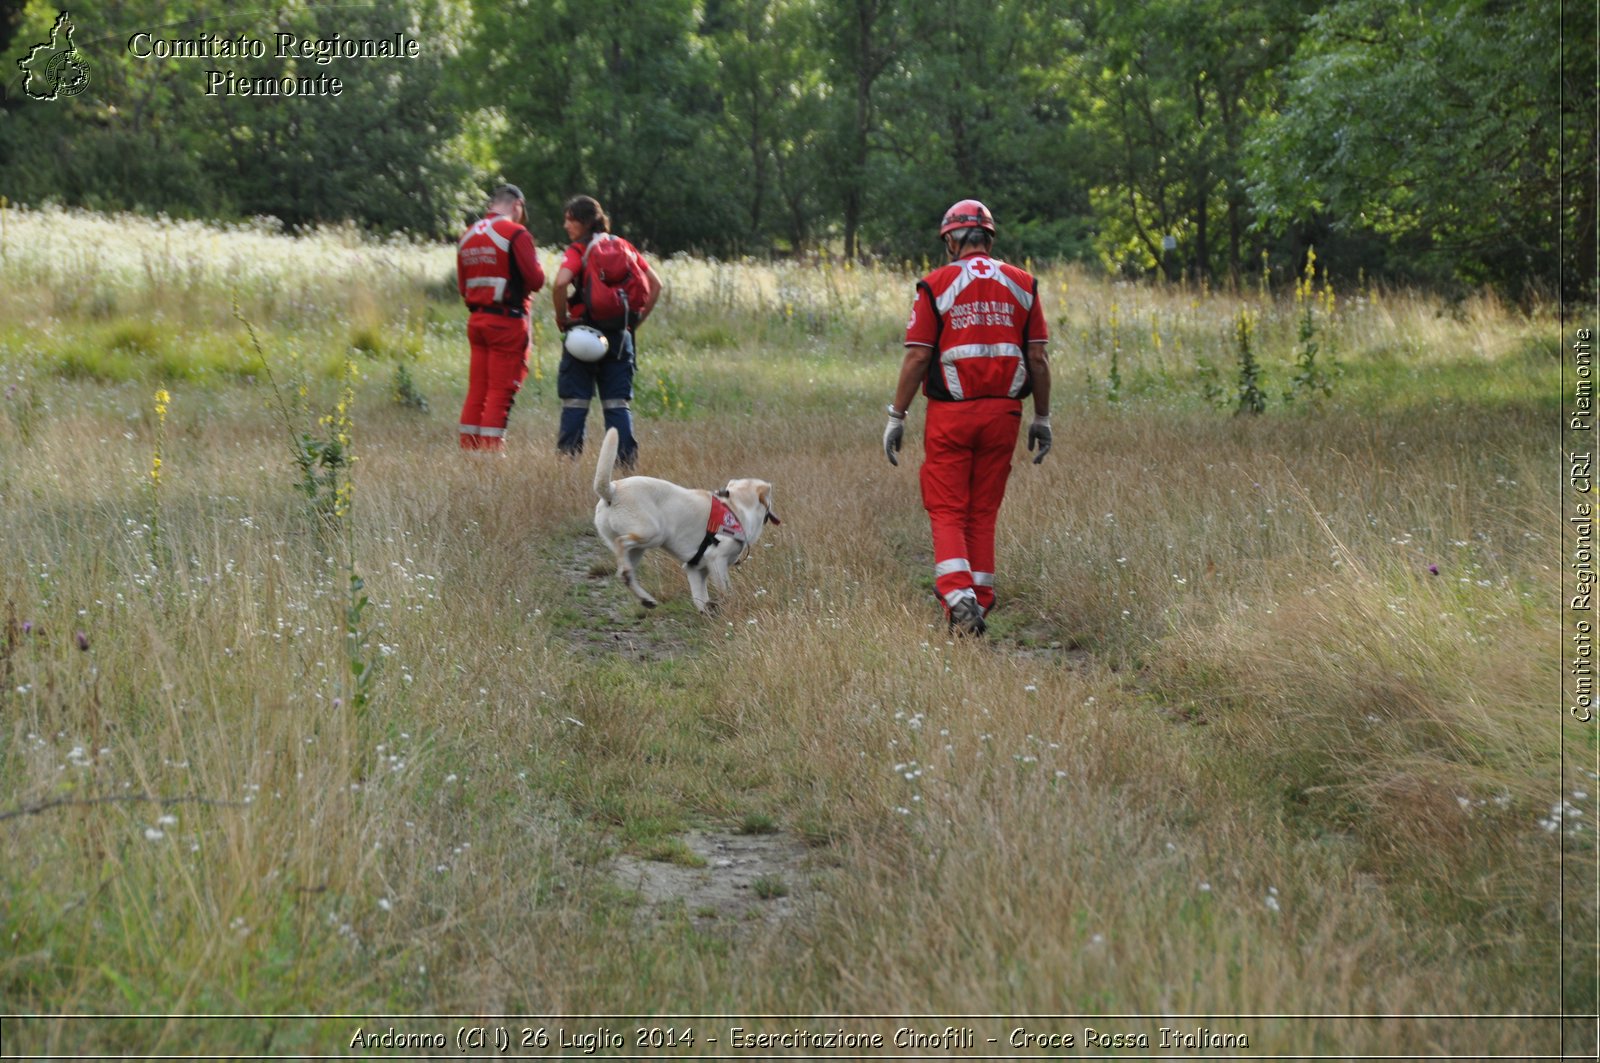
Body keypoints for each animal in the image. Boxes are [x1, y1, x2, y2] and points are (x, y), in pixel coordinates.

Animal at [595, 429, 780, 614]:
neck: (735, 505)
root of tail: (613, 490)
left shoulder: (695, 569)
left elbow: (701, 599)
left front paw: (708, 612)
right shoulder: (716, 559)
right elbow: (726, 592)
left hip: (638, 549)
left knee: (623, 572)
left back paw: (646, 598)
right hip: (653, 534)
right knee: (621, 545)